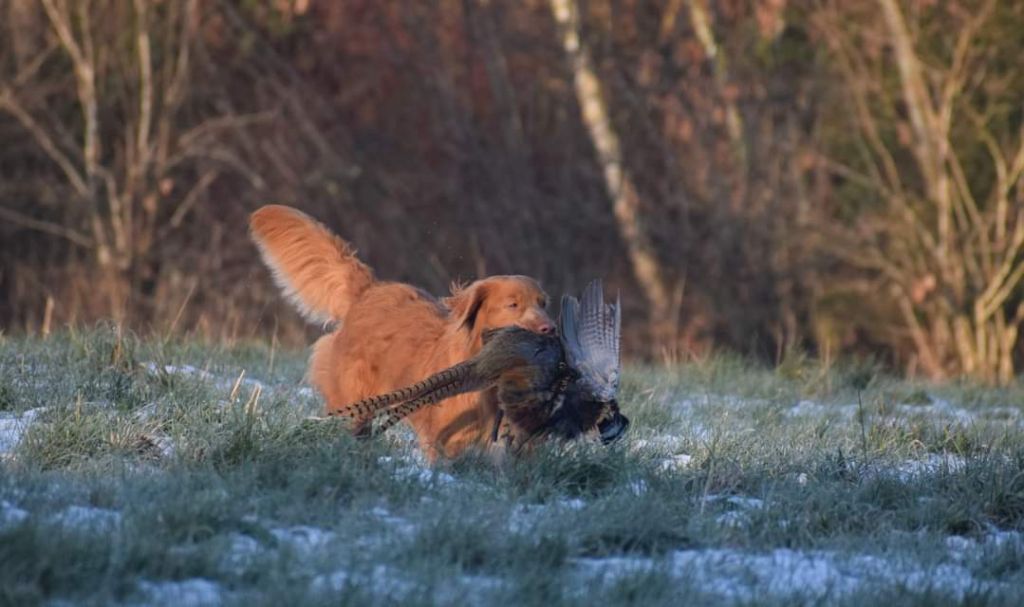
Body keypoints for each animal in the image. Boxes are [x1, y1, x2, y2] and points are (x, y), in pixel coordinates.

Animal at [248, 204, 557, 458]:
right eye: (513, 305)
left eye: (543, 303)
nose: (549, 328)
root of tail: (369, 289)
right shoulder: (448, 440)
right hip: (353, 399)